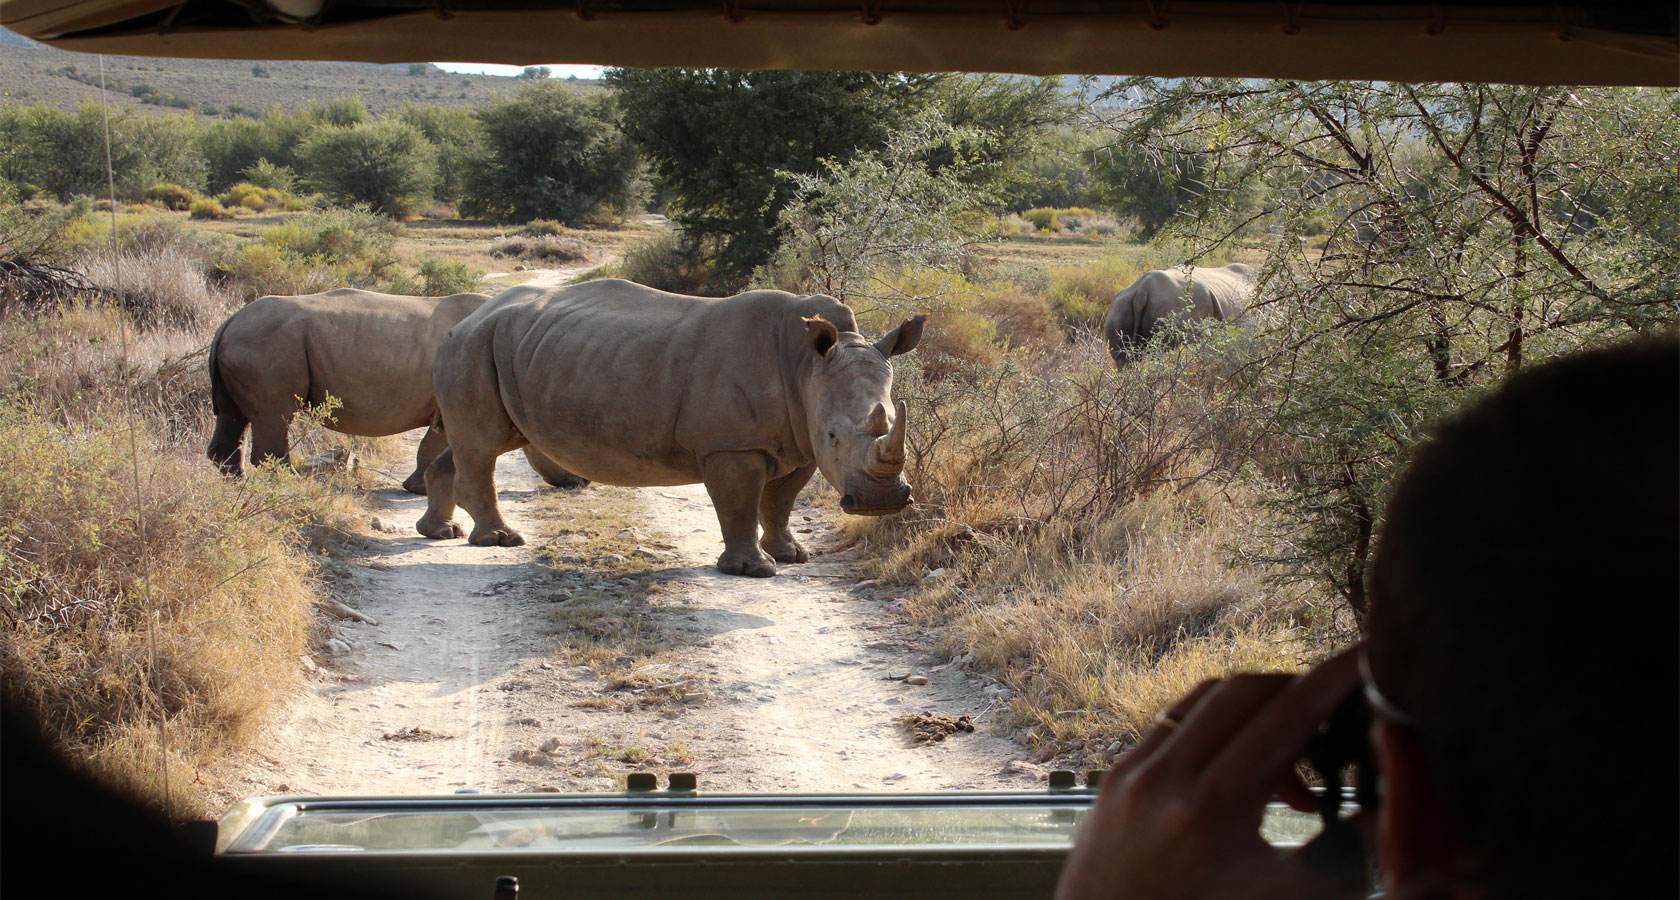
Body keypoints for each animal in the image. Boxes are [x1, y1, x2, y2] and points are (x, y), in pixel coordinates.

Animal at [206, 288, 585, 494]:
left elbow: (432, 444)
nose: (582, 482)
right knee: (277, 414)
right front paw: (418, 488)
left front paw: (417, 486)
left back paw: (236, 483)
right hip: (267, 343)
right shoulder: (452, 402)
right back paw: (293, 483)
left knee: (232, 415)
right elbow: (434, 443)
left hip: (248, 341)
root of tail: (229, 320)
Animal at [416, 279, 925, 577]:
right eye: (835, 435)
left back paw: (439, 533)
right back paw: (499, 541)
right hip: (471, 346)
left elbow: (780, 502)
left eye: (895, 421)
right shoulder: (731, 444)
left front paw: (791, 556)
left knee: (474, 444)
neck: (806, 367)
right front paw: (753, 569)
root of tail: (468, 318)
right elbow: (740, 504)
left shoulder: (798, 440)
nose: (880, 503)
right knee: (482, 446)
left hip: (507, 347)